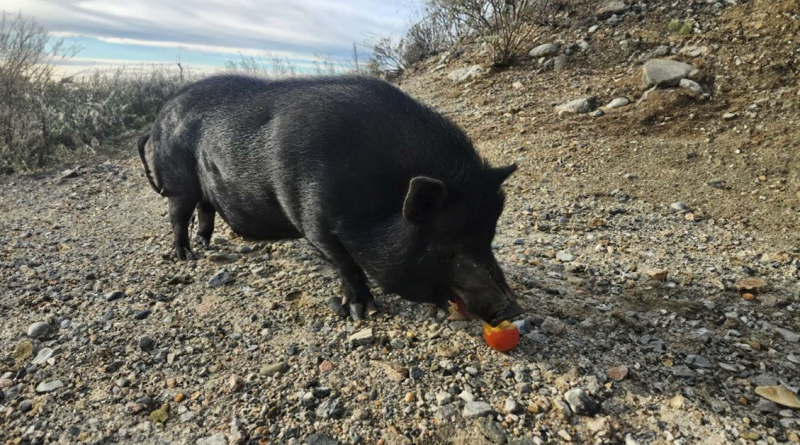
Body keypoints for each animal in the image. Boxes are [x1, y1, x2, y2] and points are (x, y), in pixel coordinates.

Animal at [138, 72, 524, 322]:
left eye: (488, 238)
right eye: (447, 247)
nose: (513, 310)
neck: (378, 198)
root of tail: (158, 117)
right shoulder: (312, 219)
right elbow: (347, 265)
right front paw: (362, 313)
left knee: (205, 211)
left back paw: (207, 245)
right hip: (178, 182)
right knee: (178, 216)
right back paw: (187, 256)